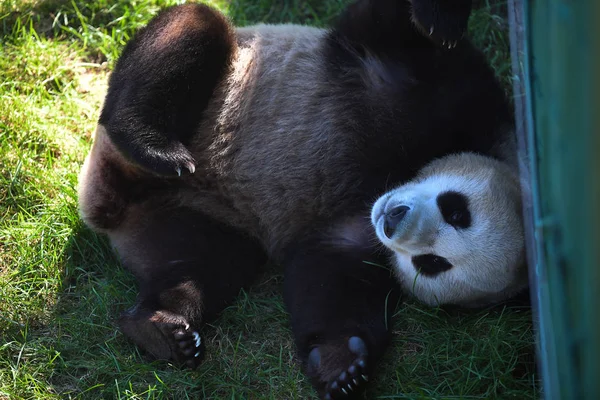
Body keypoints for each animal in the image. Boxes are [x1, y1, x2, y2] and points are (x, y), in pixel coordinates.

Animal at [76, 0, 524, 396]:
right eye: (456, 210)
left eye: (432, 263)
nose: (393, 220)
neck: (386, 181)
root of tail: (105, 203)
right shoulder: (434, 88)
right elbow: (392, 29)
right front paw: (440, 21)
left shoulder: (358, 235)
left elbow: (328, 279)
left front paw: (342, 366)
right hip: (201, 96)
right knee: (190, 34)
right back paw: (153, 145)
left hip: (186, 218)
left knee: (204, 260)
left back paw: (162, 327)